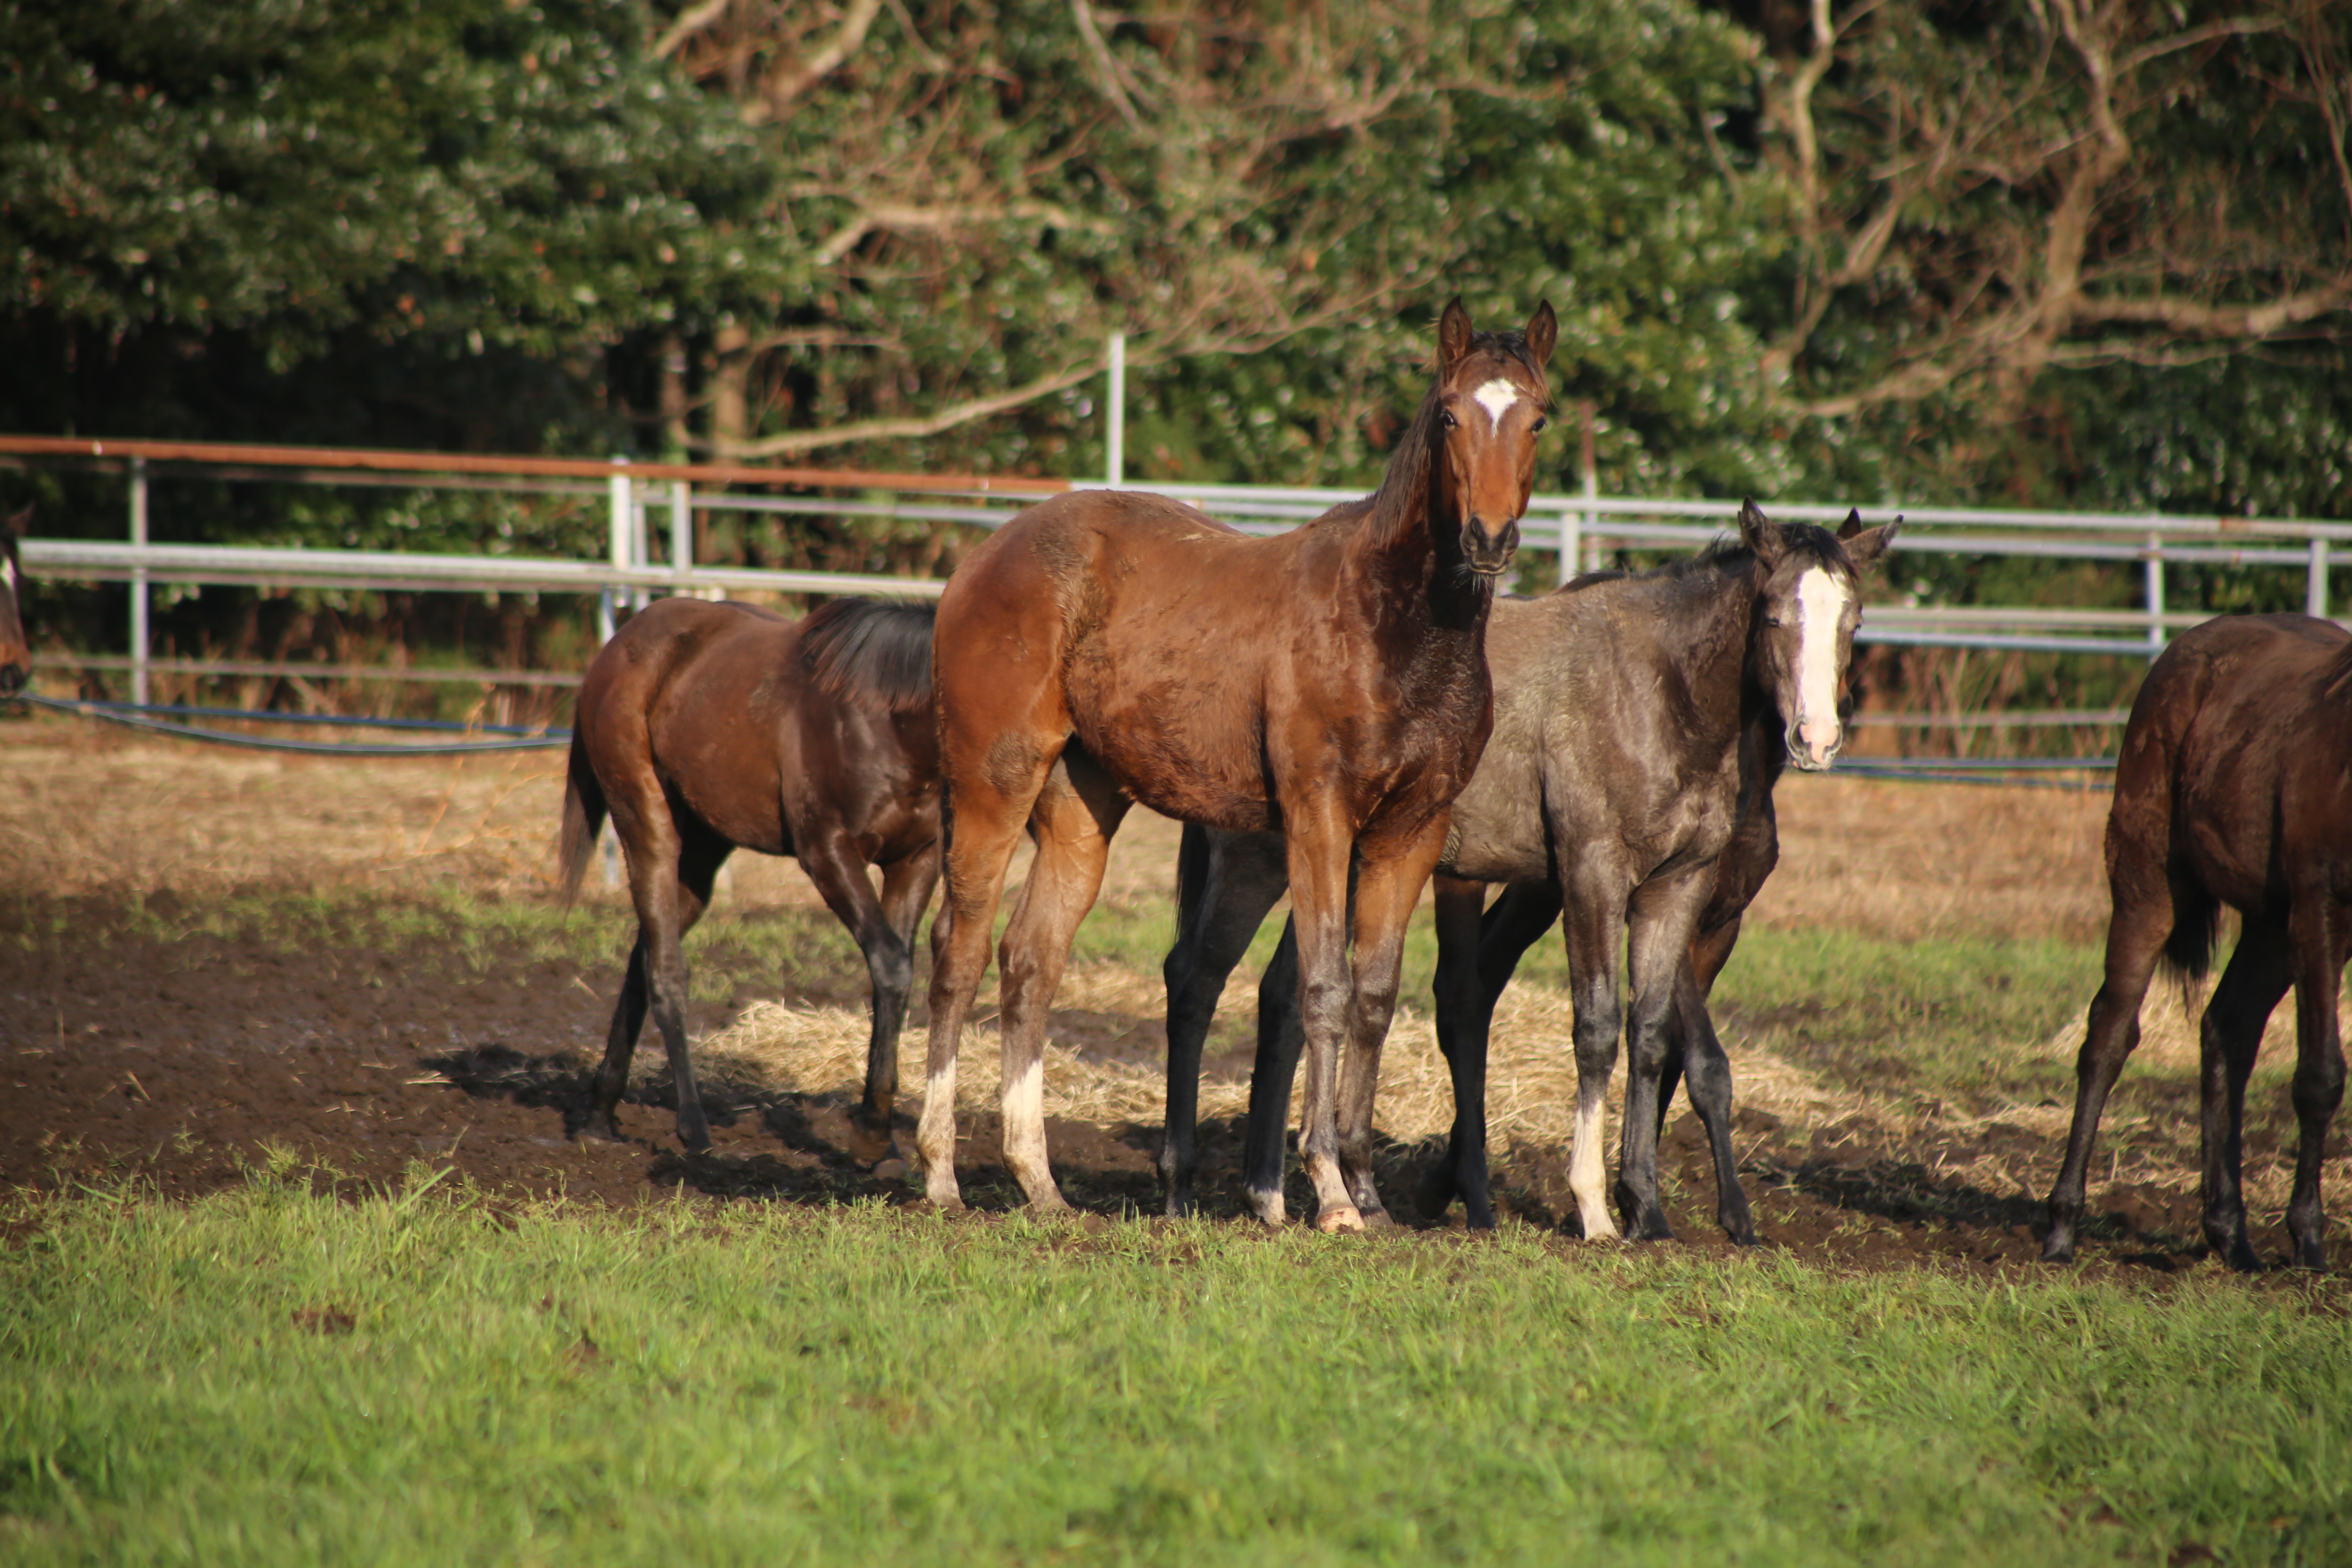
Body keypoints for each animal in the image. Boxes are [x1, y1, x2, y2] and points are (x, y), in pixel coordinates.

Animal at [555, 595, 941, 1161]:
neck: (886, 716)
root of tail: (618, 646)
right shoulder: (828, 853)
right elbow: (890, 964)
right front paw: (873, 1134)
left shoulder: (916, 861)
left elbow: (894, 972)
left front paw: (878, 1139)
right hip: (647, 823)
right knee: (666, 967)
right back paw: (692, 1127)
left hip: (703, 851)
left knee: (644, 955)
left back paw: (601, 1114)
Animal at [922, 294, 1561, 1222]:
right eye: (1449, 416)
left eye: (1538, 418)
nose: (1488, 538)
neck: (1393, 627)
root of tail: (984, 555)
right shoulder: (1321, 817)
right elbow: (1322, 990)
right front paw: (1328, 1189)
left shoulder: (1412, 831)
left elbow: (1374, 997)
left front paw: (1367, 1190)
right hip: (992, 786)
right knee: (960, 950)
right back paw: (940, 1174)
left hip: (1081, 808)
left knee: (1031, 962)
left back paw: (1039, 1183)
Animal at [1166, 503, 1900, 1241]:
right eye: (1774, 615)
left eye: (1854, 622)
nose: (1816, 740)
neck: (1656, 693)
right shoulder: (1592, 876)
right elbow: (1598, 1029)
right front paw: (1594, 1206)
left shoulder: (1679, 889)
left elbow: (1652, 1035)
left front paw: (1648, 1208)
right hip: (1262, 864)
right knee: (1197, 976)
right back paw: (1186, 1188)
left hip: (1342, 870)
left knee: (1287, 998)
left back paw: (1272, 1196)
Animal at [2041, 611, 2352, 1278]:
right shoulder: (2323, 909)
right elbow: (2319, 1077)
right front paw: (2310, 1244)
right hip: (2149, 881)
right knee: (2109, 1036)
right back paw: (2062, 1227)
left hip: (2269, 922)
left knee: (2228, 1029)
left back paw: (2230, 1234)